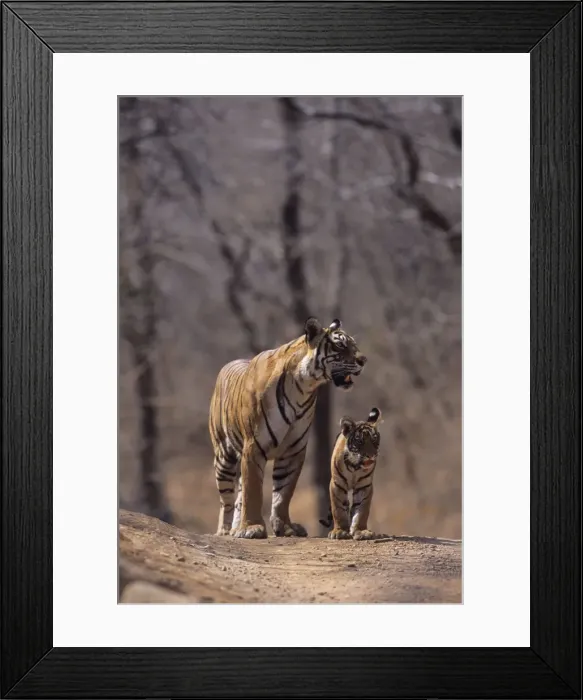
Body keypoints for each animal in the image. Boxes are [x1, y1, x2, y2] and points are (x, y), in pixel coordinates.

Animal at [209, 317, 367, 539]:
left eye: (354, 344)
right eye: (340, 345)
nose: (364, 360)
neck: (303, 387)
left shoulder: (293, 449)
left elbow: (283, 493)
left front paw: (284, 527)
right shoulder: (254, 446)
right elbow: (253, 490)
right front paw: (252, 527)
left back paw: (235, 528)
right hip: (224, 457)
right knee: (227, 500)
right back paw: (225, 530)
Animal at [319, 408, 382, 541]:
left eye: (374, 439)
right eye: (360, 441)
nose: (371, 455)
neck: (355, 466)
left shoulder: (364, 487)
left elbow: (362, 511)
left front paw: (361, 531)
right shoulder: (337, 484)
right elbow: (338, 509)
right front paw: (340, 531)